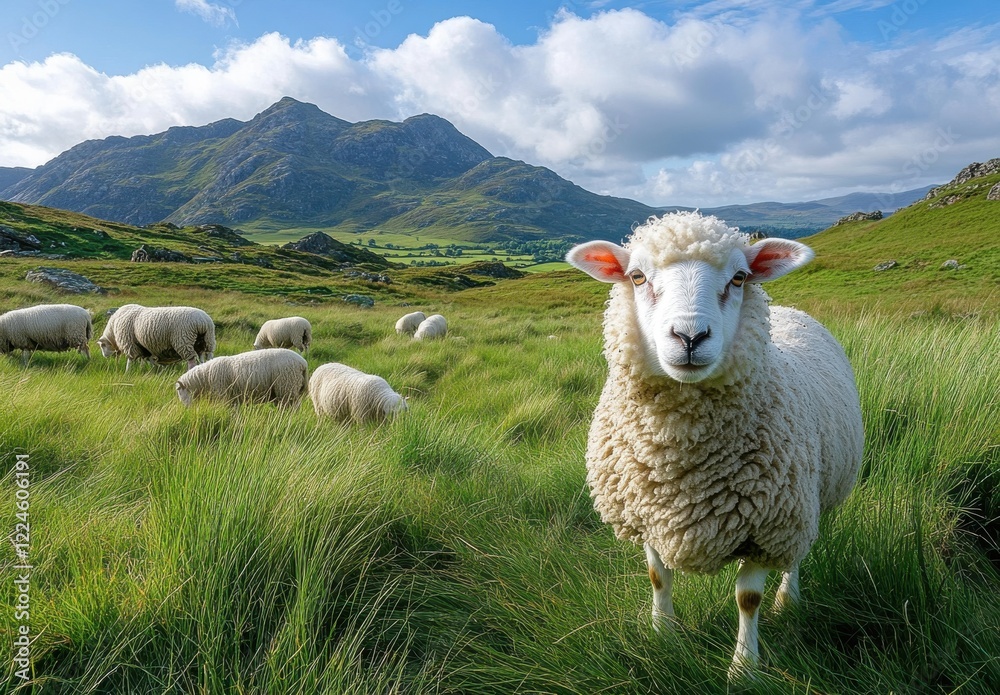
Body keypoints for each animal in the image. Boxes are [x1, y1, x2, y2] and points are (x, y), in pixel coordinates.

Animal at [175, 348, 308, 408]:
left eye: (179, 392)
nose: (186, 409)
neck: (205, 378)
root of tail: (303, 363)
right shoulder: (233, 399)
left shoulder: (223, 395)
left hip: (287, 386)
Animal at [566, 212, 864, 680]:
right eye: (636, 276)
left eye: (739, 278)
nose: (690, 337)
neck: (680, 454)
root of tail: (789, 310)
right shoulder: (646, 512)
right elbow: (658, 577)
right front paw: (663, 634)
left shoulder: (768, 526)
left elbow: (748, 600)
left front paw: (744, 668)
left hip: (805, 502)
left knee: (796, 556)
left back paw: (789, 600)